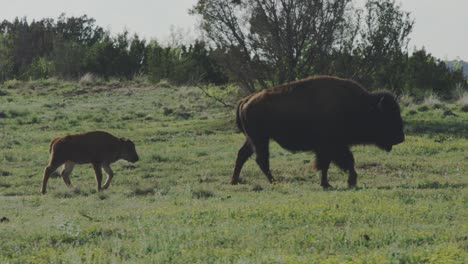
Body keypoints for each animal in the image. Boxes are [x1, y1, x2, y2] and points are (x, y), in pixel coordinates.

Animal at [232, 75, 404, 189]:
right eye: (387, 117)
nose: (401, 138)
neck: (360, 106)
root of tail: (246, 100)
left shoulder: (332, 147)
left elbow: (332, 164)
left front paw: (333, 183)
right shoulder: (331, 146)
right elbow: (340, 162)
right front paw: (344, 182)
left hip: (253, 139)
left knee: (243, 155)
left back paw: (234, 181)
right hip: (260, 139)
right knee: (261, 159)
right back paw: (275, 182)